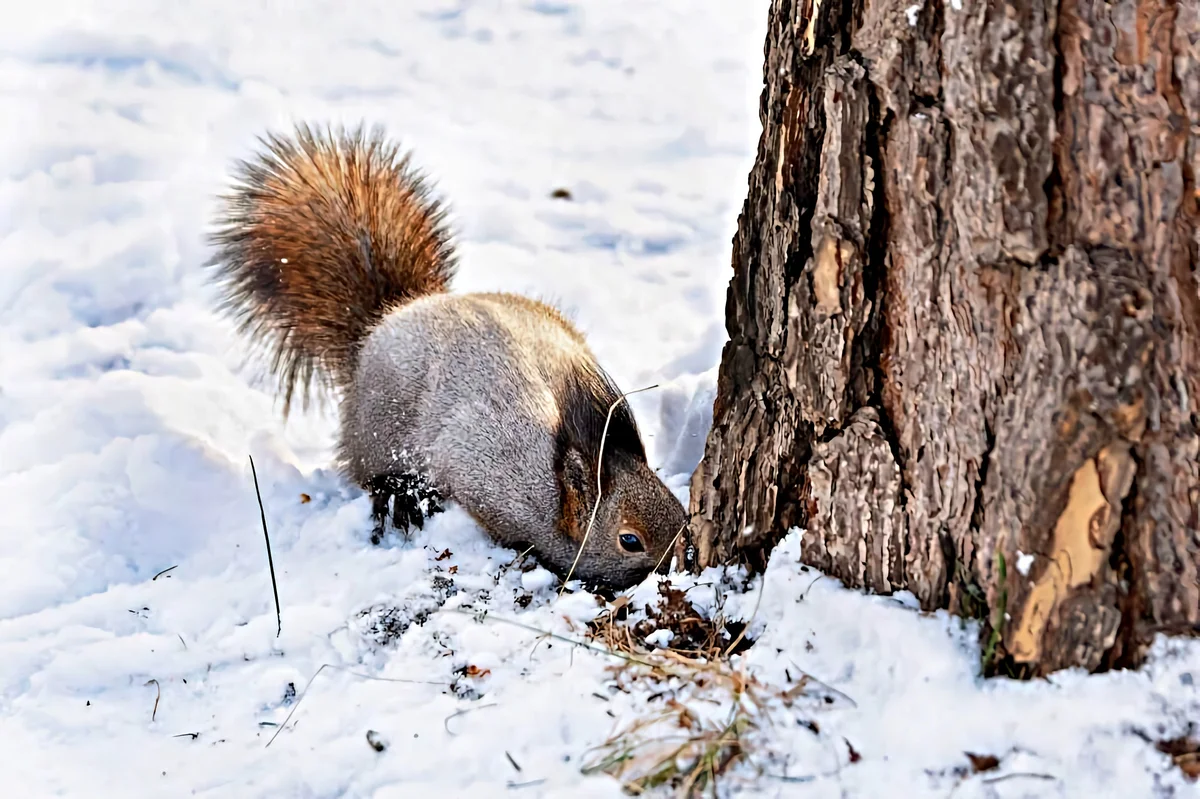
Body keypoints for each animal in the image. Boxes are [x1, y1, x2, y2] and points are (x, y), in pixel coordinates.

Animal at [206, 121, 686, 587]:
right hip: (379, 431)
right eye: (629, 540)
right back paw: (398, 496)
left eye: (680, 507)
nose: (679, 561)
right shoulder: (485, 467)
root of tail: (386, 319)